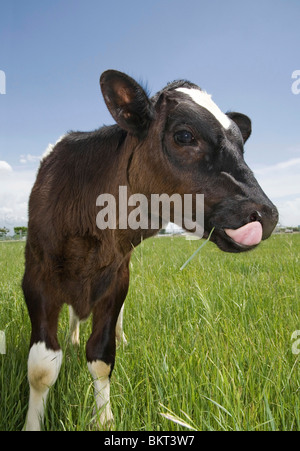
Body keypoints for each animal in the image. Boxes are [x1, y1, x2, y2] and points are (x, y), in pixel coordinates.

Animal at [22, 69, 278, 430]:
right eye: (184, 135)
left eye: (241, 144)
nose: (265, 214)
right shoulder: (36, 279)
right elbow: (42, 369)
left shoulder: (117, 279)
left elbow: (101, 355)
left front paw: (105, 418)